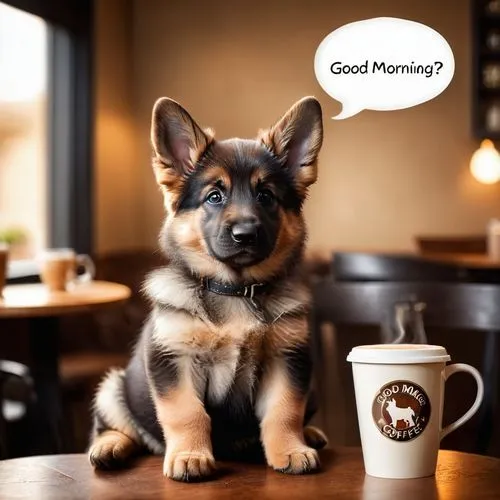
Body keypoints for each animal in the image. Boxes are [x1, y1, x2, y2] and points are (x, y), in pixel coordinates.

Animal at [88, 95, 326, 482]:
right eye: (214, 196)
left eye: (266, 196)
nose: (245, 234)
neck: (235, 289)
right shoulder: (174, 360)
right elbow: (186, 412)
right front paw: (190, 456)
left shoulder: (288, 360)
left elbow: (284, 410)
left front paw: (290, 450)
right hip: (113, 386)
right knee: (119, 428)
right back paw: (109, 447)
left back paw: (311, 434)